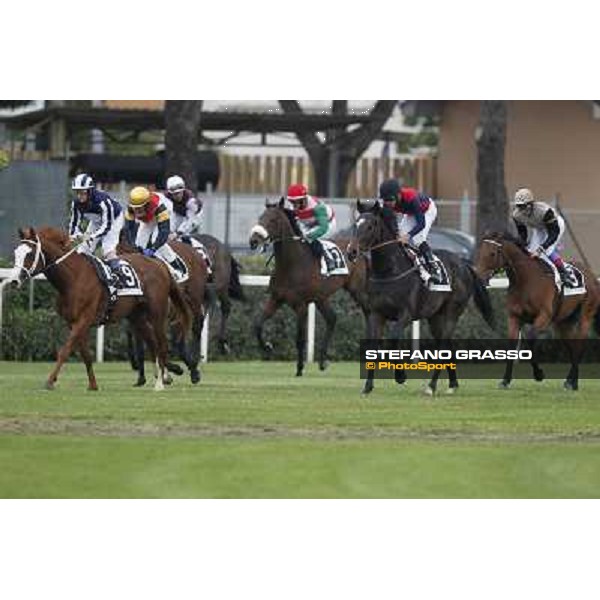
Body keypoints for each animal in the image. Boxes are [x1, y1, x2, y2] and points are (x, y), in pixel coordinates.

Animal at [8, 227, 191, 392]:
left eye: (29, 254)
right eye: (16, 253)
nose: (14, 280)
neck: (73, 278)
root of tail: (160, 265)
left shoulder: (84, 319)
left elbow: (65, 350)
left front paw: (50, 381)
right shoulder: (73, 322)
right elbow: (86, 355)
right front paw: (93, 385)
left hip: (157, 314)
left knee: (162, 344)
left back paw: (160, 383)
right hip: (136, 317)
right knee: (152, 343)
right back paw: (163, 376)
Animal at [346, 200, 496, 394]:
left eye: (370, 226)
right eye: (356, 224)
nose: (351, 252)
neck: (389, 271)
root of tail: (464, 263)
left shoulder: (406, 315)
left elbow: (392, 340)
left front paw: (400, 376)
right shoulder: (375, 314)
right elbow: (372, 347)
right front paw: (367, 386)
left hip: (452, 312)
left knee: (443, 347)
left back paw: (431, 386)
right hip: (435, 317)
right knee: (447, 346)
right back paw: (453, 384)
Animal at [474, 230, 600, 390]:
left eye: (492, 253)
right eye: (479, 252)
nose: (478, 277)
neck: (526, 280)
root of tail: (592, 276)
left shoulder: (544, 316)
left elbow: (529, 338)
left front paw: (539, 374)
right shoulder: (514, 317)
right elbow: (512, 345)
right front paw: (505, 380)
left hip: (585, 315)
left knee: (580, 345)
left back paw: (574, 383)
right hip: (564, 322)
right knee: (572, 345)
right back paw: (570, 381)